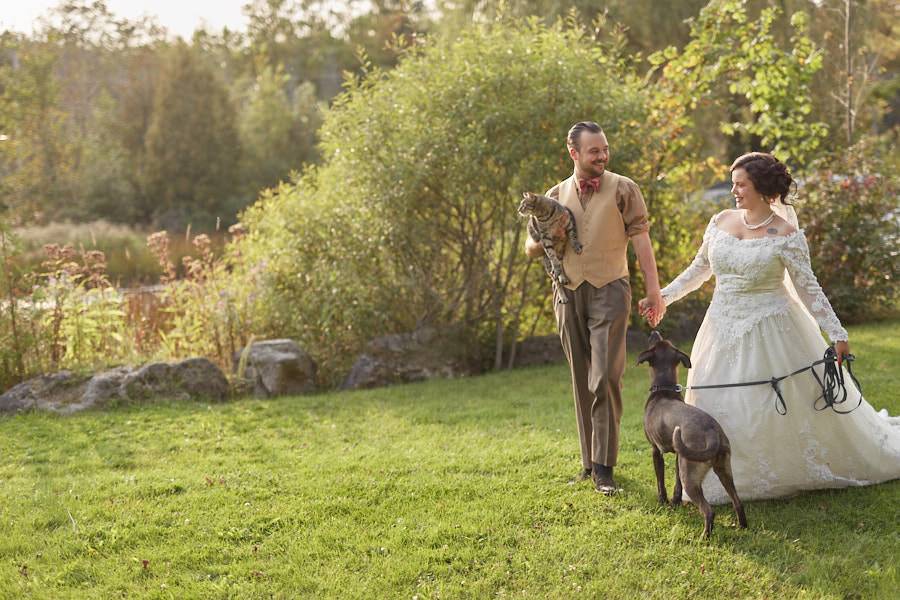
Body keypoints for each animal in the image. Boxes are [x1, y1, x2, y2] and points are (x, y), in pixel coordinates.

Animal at [636, 330, 748, 536]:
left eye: (656, 341)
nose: (654, 331)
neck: (664, 390)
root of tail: (712, 432)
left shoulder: (656, 450)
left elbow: (660, 480)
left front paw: (663, 501)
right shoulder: (678, 456)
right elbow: (676, 484)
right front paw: (675, 502)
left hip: (692, 478)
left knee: (708, 510)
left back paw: (705, 537)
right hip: (723, 470)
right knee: (737, 501)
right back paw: (743, 527)